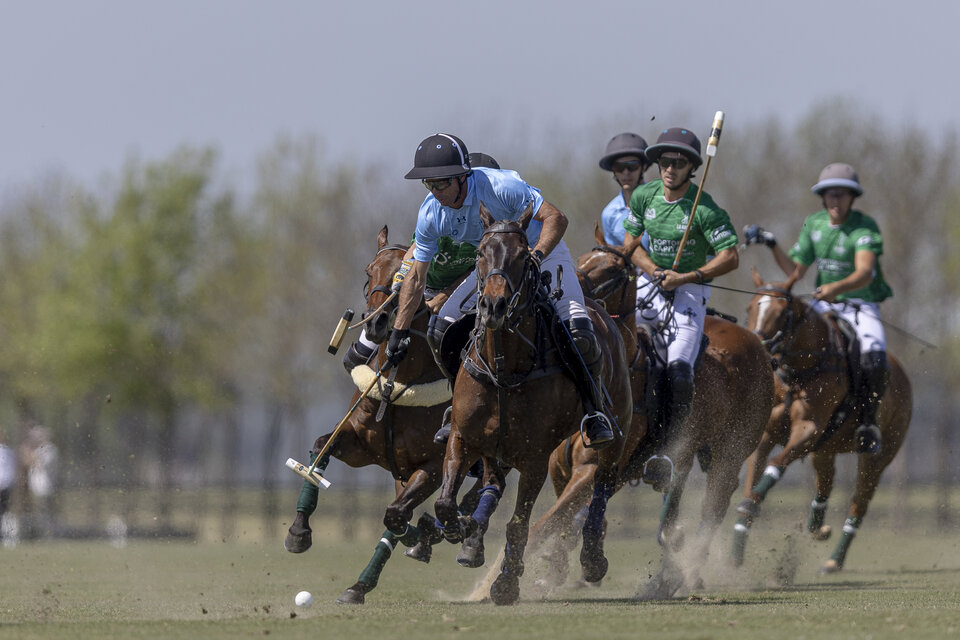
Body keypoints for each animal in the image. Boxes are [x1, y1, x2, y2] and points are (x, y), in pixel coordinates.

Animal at [284, 226, 496, 604]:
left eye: (406, 275)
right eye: (369, 271)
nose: (379, 322)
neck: (398, 382)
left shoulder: (432, 464)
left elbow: (396, 514)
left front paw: (435, 532)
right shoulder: (363, 447)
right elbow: (323, 446)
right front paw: (299, 531)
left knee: (485, 487)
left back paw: (465, 540)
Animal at [432, 206, 632, 604]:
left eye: (524, 257)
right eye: (480, 254)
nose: (493, 306)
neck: (503, 368)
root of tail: (600, 310)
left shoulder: (535, 457)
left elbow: (519, 525)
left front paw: (506, 583)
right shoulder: (464, 437)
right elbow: (445, 502)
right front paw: (460, 530)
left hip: (615, 432)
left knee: (602, 485)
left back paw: (592, 558)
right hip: (498, 448)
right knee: (495, 482)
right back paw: (473, 542)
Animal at [732, 272, 912, 572]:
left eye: (781, 313)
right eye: (749, 308)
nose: (761, 350)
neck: (799, 372)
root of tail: (902, 374)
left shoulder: (808, 431)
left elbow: (775, 465)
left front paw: (749, 507)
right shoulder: (767, 435)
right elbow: (753, 478)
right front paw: (736, 549)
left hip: (878, 456)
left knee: (858, 503)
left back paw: (834, 561)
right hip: (825, 449)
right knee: (825, 484)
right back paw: (818, 528)